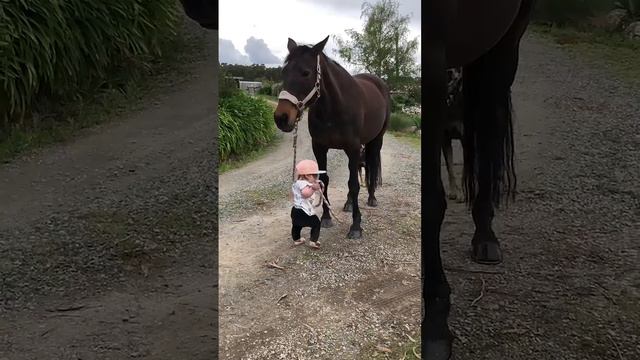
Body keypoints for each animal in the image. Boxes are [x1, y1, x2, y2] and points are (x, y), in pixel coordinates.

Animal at [272, 36, 390, 239]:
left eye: (306, 72)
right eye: (284, 72)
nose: (282, 118)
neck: (334, 107)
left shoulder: (352, 148)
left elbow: (354, 184)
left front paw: (356, 225)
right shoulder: (319, 147)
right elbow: (324, 181)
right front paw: (326, 218)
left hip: (376, 141)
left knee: (371, 166)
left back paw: (372, 198)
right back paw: (349, 203)